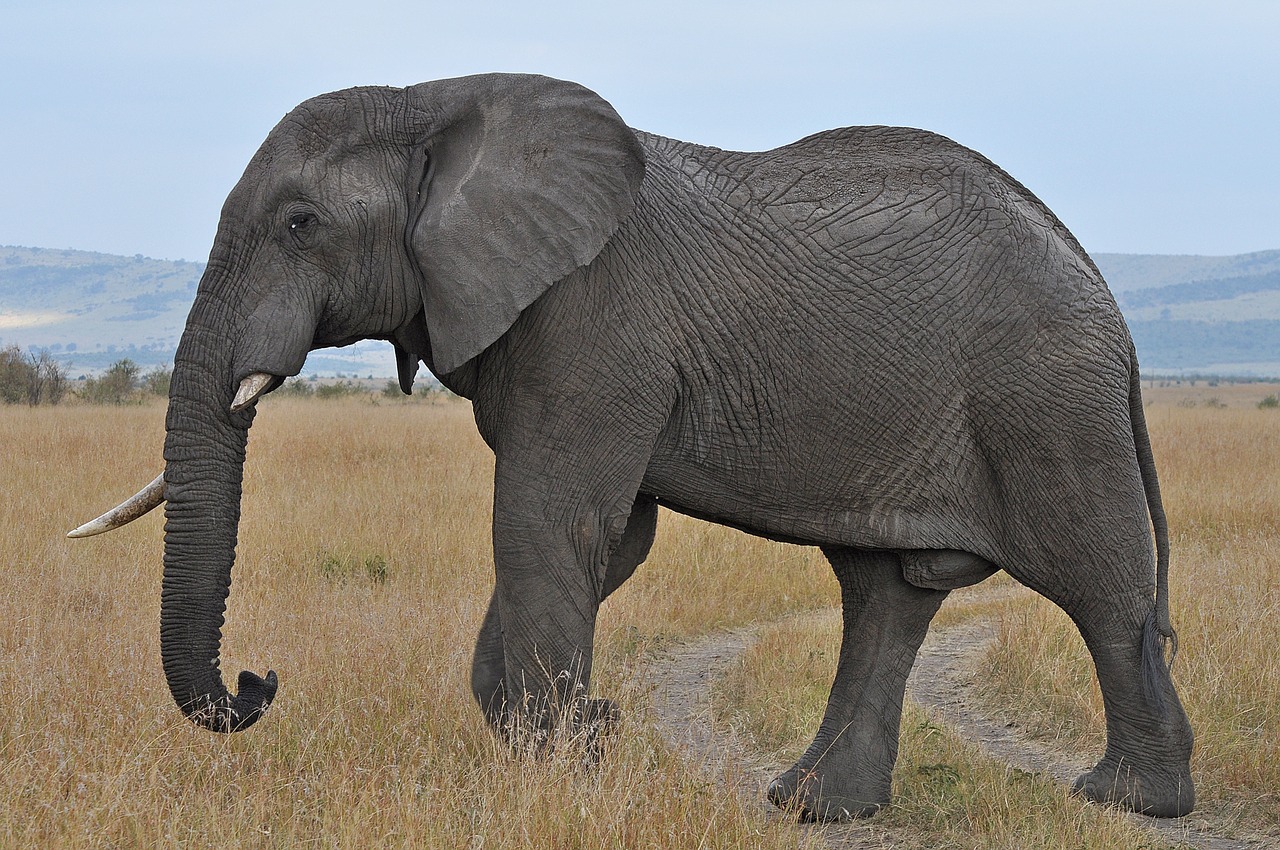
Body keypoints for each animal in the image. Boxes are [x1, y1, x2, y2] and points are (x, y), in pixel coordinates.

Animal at [70, 74, 1192, 824]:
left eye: (302, 222)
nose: (257, 682)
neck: (437, 99)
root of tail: (1109, 298)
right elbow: (605, 538)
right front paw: (578, 738)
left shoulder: (592, 323)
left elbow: (550, 522)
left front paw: (573, 755)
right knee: (883, 593)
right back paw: (812, 806)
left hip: (1047, 399)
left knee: (1095, 581)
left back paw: (1130, 800)